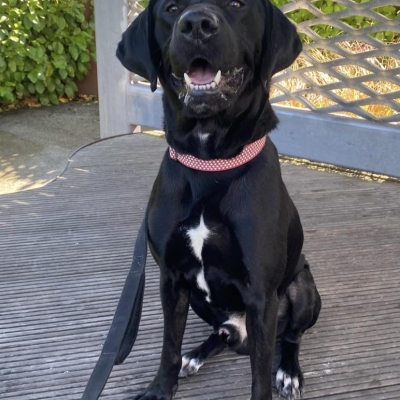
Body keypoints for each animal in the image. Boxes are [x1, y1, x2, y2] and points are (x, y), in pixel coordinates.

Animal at [117, 1, 320, 398]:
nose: (196, 24)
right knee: (220, 334)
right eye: (171, 8)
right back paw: (194, 356)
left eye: (238, 5)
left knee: (291, 337)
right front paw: (161, 387)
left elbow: (260, 375)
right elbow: (169, 346)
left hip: (304, 288)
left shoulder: (261, 295)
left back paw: (289, 371)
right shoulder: (171, 279)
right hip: (201, 301)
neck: (209, 165)